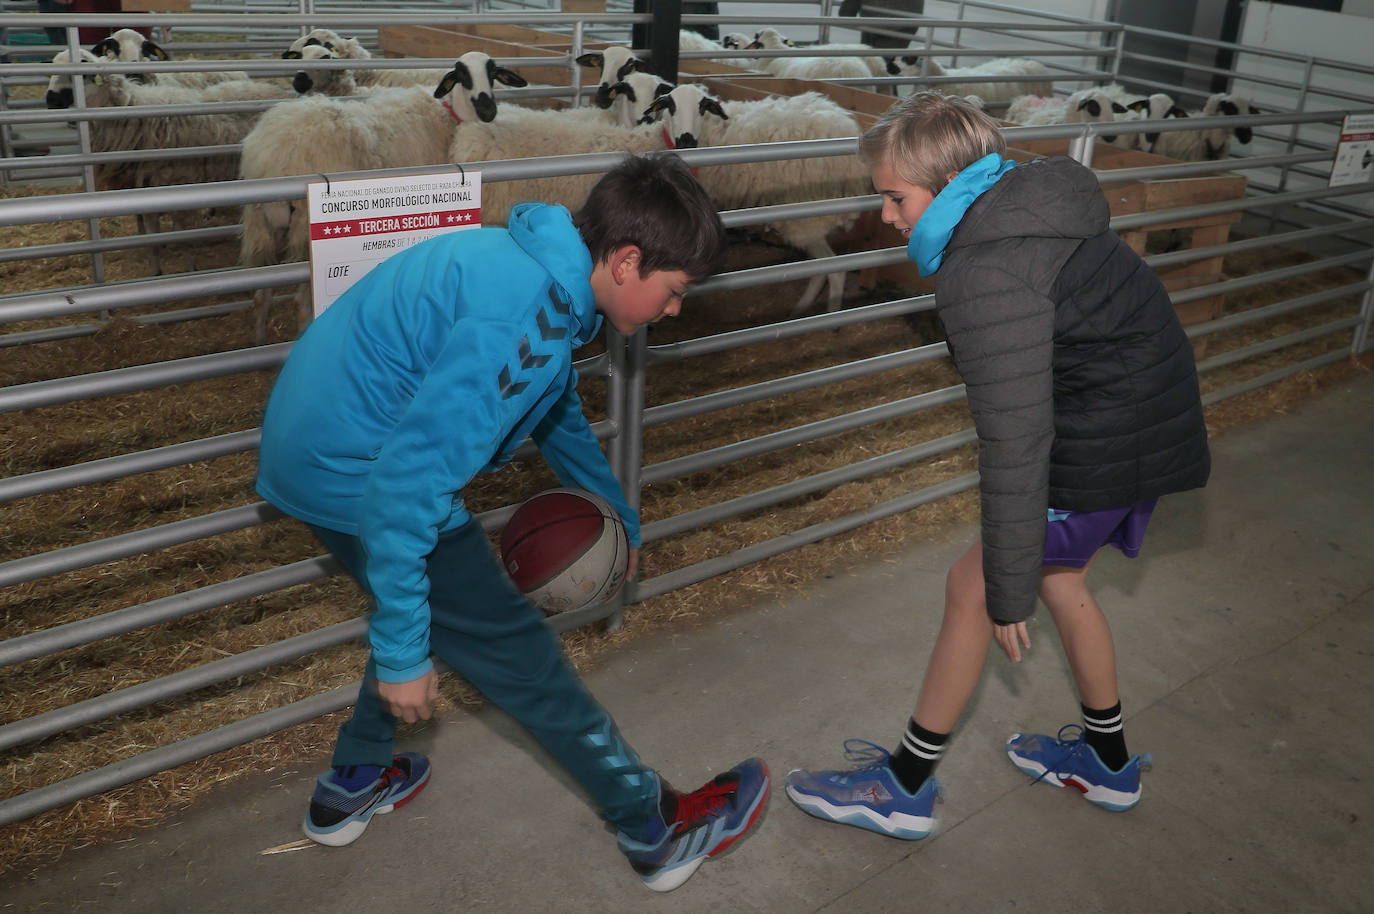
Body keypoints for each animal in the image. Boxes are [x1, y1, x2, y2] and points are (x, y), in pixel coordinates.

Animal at [237, 50, 524, 342]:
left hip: (265, 226)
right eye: (462, 75)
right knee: (302, 306)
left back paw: (259, 340)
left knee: (262, 295)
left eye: (493, 73)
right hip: (304, 235)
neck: (449, 116)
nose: (488, 111)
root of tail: (275, 154)